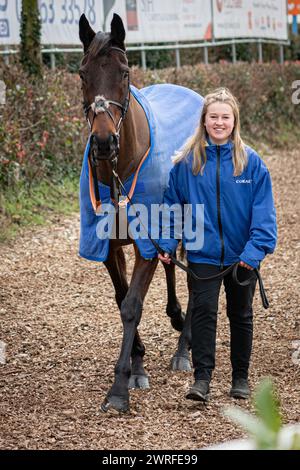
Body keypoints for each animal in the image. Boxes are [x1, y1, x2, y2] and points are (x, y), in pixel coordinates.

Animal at [78, 12, 203, 414]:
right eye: (83, 73)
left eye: (124, 72)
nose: (104, 143)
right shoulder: (109, 246)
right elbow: (122, 299)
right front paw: (137, 364)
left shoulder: (143, 244)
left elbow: (132, 304)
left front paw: (119, 387)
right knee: (172, 265)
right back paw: (177, 318)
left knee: (196, 278)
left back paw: (184, 350)